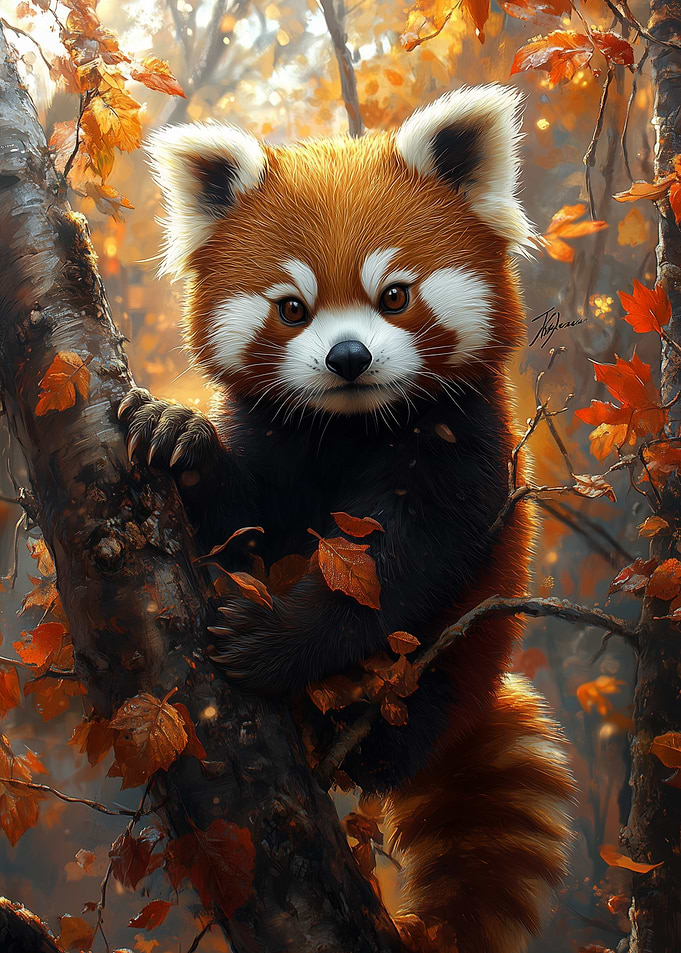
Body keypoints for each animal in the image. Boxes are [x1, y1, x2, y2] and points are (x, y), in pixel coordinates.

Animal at [119, 84, 575, 953]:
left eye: (393, 295)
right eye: (292, 308)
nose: (348, 357)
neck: (350, 427)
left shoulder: (461, 446)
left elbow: (394, 567)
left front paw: (273, 640)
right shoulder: (274, 438)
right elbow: (244, 520)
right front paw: (181, 436)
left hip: (455, 658)